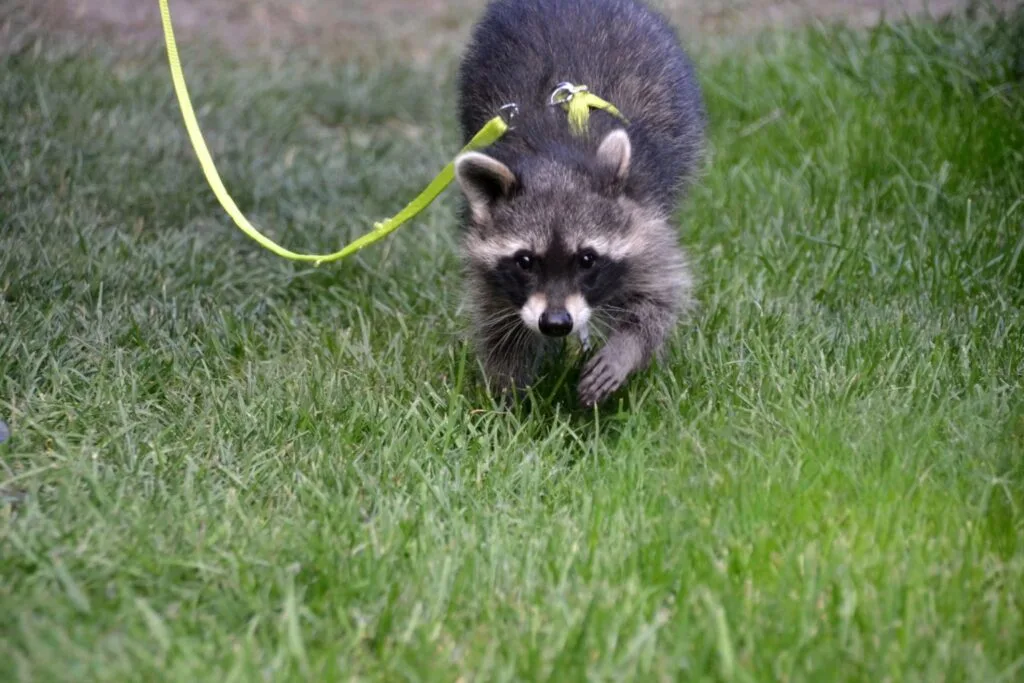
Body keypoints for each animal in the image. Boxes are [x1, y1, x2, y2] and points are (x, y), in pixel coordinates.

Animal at [453, 0, 705, 408]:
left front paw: (625, 350)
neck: (556, 161)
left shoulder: (643, 217)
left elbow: (657, 301)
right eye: (525, 261)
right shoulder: (486, 258)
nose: (556, 324)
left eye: (587, 259)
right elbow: (498, 324)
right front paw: (505, 394)